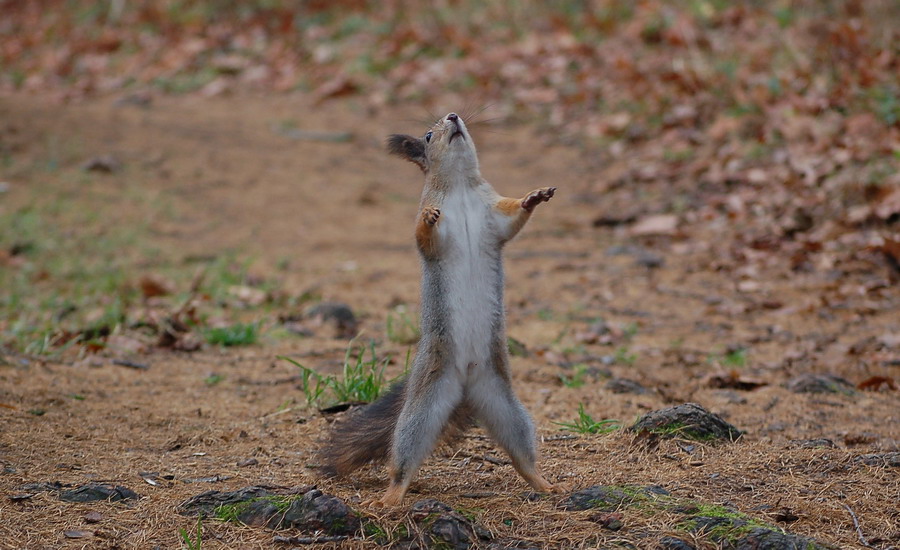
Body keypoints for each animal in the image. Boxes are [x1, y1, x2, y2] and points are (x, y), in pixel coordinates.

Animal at [324, 112, 556, 508]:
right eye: (429, 135)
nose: (453, 117)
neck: (460, 185)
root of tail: (465, 383)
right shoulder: (433, 227)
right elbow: (424, 237)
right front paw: (429, 218)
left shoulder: (494, 212)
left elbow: (512, 219)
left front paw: (533, 198)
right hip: (423, 406)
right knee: (404, 456)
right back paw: (391, 497)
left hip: (504, 404)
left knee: (521, 452)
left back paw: (544, 483)